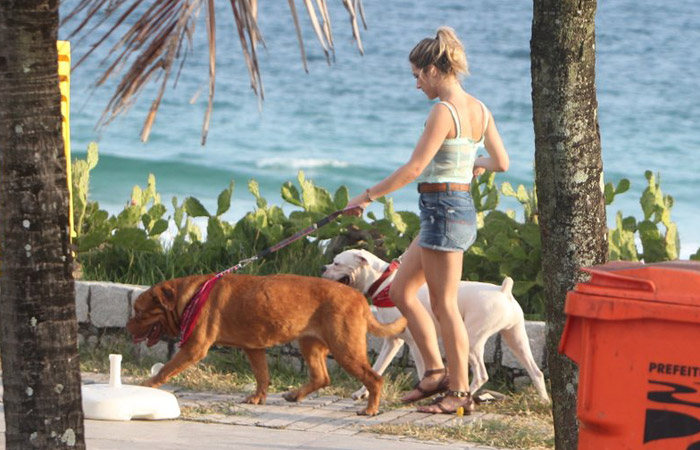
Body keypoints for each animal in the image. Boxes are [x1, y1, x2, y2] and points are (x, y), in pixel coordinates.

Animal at [129, 270, 408, 414]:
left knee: (374, 378)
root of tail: (360, 299)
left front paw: (148, 385)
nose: (128, 325)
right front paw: (258, 397)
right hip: (309, 343)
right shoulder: (254, 348)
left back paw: (370, 409)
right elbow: (262, 375)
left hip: (345, 348)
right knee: (321, 377)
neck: (188, 299)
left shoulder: (193, 348)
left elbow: (165, 369)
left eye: (139, 312)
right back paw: (295, 395)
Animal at [320, 250, 548, 400]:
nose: (323, 267)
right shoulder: (392, 342)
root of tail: (504, 291)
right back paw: (544, 400)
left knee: (481, 374)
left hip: (473, 340)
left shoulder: (413, 343)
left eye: (337, 263)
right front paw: (361, 392)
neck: (384, 284)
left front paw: (424, 393)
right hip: (516, 338)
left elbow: (423, 371)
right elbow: (378, 368)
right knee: (536, 371)